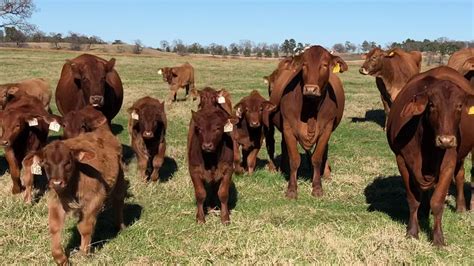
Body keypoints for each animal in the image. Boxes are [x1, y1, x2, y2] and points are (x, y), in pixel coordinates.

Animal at [266, 45, 344, 198]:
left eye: (324, 65)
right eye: (304, 65)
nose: (310, 89)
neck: (310, 108)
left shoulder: (327, 129)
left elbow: (317, 158)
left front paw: (317, 187)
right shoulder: (288, 127)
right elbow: (294, 159)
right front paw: (291, 189)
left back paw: (326, 174)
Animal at [386, 66, 474, 245]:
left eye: (459, 106)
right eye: (432, 105)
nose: (446, 140)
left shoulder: (448, 163)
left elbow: (437, 201)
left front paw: (438, 238)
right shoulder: (402, 160)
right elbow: (413, 199)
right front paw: (412, 232)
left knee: (461, 176)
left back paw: (462, 208)